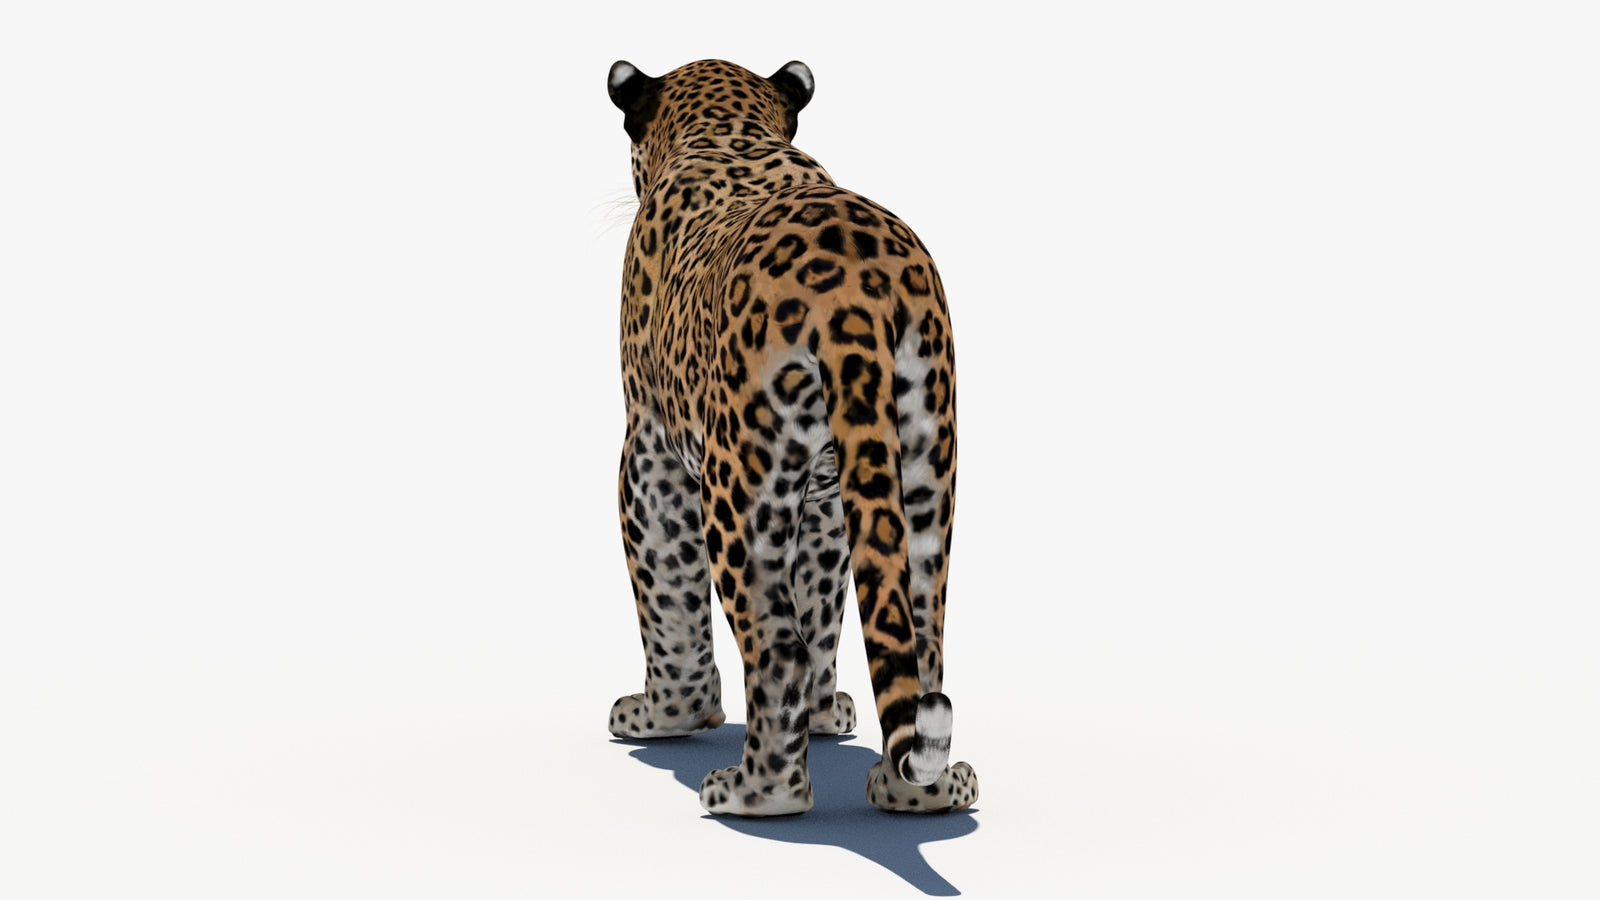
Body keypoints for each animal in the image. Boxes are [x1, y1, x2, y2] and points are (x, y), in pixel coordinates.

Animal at [605, 58, 977, 817]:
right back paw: (921, 793)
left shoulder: (650, 451)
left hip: (737, 481)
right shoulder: (831, 498)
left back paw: (756, 792)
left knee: (778, 648)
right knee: (922, 643)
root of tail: (858, 298)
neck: (727, 129)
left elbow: (666, 588)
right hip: (925, 462)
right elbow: (823, 599)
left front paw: (668, 716)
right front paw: (827, 715)